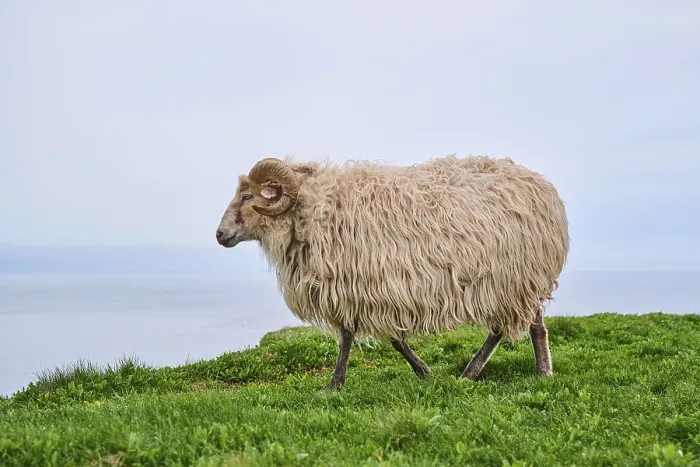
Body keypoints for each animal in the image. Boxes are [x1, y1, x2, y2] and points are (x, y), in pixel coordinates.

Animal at [215, 154, 569, 390]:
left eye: (247, 196)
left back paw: (532, 371)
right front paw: (423, 370)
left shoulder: (363, 284)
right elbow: (390, 339)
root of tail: (542, 186)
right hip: (512, 280)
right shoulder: (369, 288)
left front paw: (334, 384)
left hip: (514, 278)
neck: (314, 210)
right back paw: (479, 372)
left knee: (522, 326)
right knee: (510, 326)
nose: (219, 235)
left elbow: (352, 337)